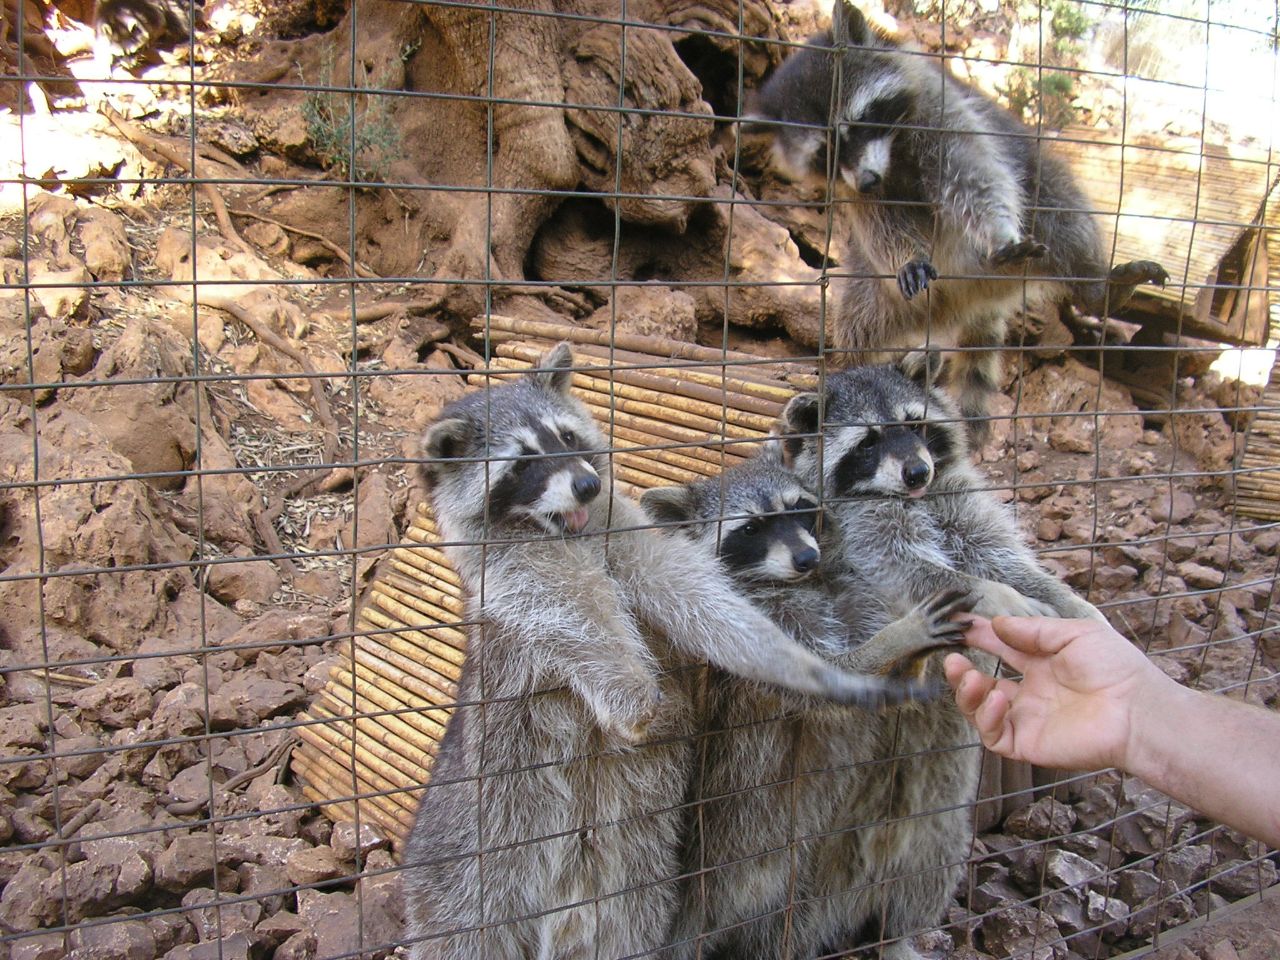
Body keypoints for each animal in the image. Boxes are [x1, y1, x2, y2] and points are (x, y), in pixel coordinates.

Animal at [399, 345, 921, 960]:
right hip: (472, 856)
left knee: (628, 921)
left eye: (568, 437)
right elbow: (567, 611)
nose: (585, 483)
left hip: (632, 866)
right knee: (469, 931)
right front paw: (630, 691)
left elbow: (687, 587)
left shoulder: (623, 526)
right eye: (523, 464)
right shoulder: (509, 572)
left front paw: (789, 657)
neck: (566, 532)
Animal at [645, 455, 972, 960]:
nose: (806, 557)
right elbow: (822, 680)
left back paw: (896, 935)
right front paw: (894, 643)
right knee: (779, 924)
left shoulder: (851, 589)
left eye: (798, 508)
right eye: (751, 528)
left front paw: (912, 662)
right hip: (750, 858)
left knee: (925, 863)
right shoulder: (746, 629)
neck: (805, 582)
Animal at [747, 0, 1172, 427]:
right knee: (857, 324)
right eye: (826, 153)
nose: (868, 179)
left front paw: (999, 229)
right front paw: (905, 252)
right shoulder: (852, 189)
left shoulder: (939, 109)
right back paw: (850, 369)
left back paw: (1097, 287)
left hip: (1034, 218)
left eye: (860, 122)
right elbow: (880, 220)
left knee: (1060, 205)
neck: (892, 151)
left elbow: (972, 171)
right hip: (878, 288)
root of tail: (971, 295)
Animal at [773, 358, 1105, 960]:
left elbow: (1007, 558)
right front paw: (993, 594)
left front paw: (1075, 606)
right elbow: (917, 571)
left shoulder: (955, 497)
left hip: (940, 800)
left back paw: (900, 933)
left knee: (930, 858)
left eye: (914, 424)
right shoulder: (860, 530)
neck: (912, 498)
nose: (915, 471)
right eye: (869, 441)